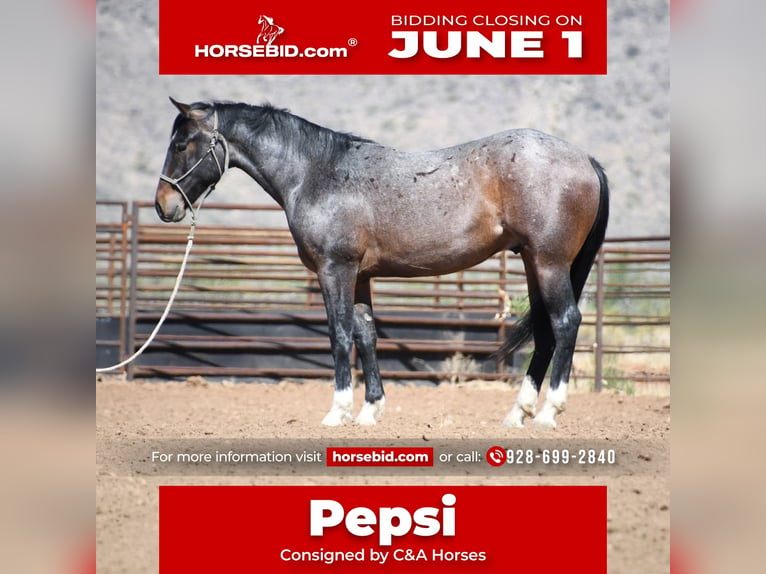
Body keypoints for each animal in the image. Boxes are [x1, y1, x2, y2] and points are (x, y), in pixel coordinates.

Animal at [155, 98, 609, 429]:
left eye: (181, 145)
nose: (164, 205)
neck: (318, 174)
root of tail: (585, 159)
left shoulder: (334, 270)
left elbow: (340, 336)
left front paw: (337, 412)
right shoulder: (359, 277)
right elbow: (366, 334)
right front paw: (370, 410)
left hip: (549, 262)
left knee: (565, 322)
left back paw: (548, 412)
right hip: (535, 263)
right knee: (547, 331)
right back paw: (518, 413)